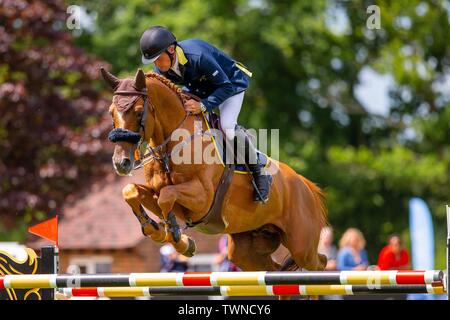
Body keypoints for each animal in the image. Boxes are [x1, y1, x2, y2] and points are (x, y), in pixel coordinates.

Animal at [101, 67, 326, 272]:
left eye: (139, 111)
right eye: (111, 113)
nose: (121, 163)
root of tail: (305, 185)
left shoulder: (203, 198)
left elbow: (167, 196)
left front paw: (177, 237)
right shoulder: (156, 191)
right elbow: (132, 191)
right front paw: (159, 231)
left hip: (302, 246)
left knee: (319, 262)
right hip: (247, 250)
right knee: (273, 269)